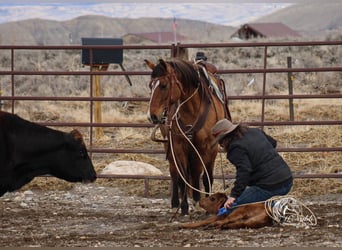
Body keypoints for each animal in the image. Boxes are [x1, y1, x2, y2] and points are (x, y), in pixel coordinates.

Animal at [144, 58, 230, 215]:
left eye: (164, 85)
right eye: (150, 85)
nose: (151, 116)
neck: (192, 109)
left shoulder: (209, 147)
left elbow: (206, 177)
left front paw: (207, 205)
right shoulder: (178, 145)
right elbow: (183, 177)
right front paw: (185, 206)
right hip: (168, 144)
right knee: (174, 173)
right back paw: (175, 204)